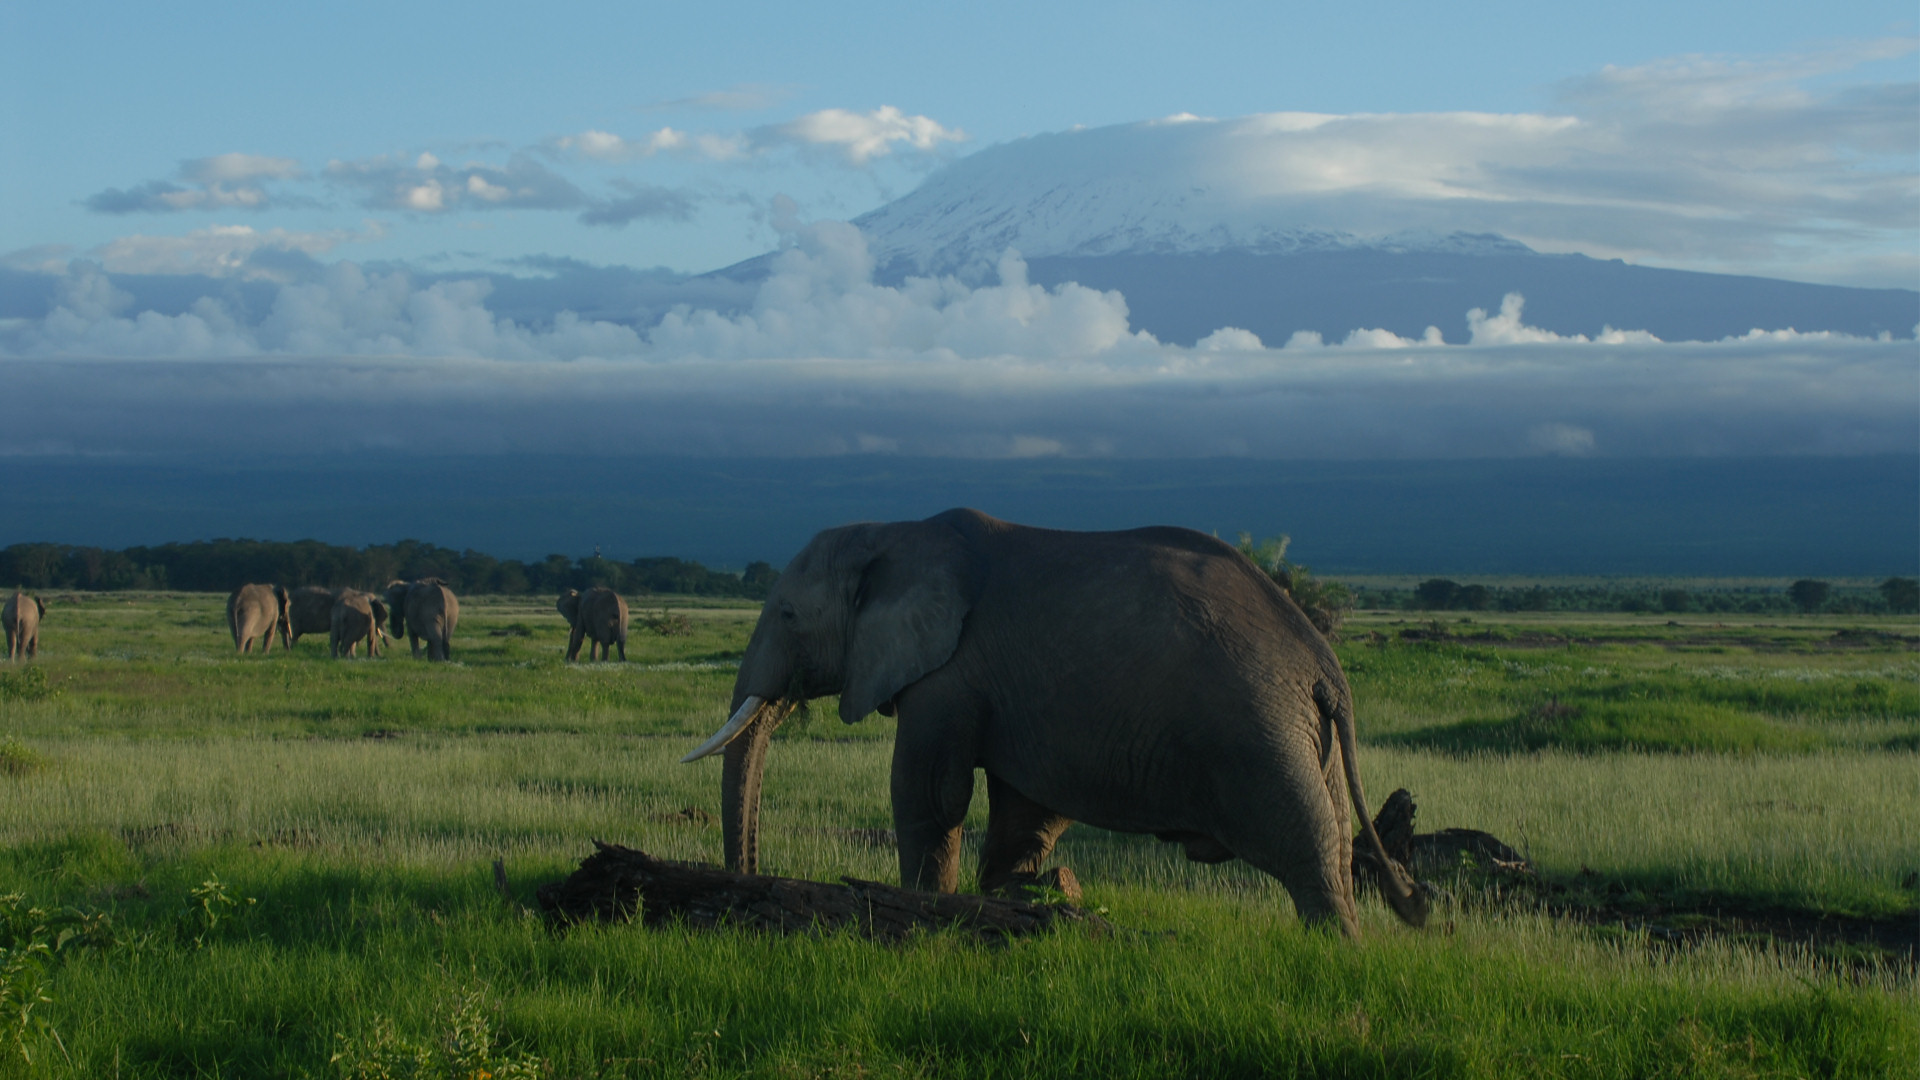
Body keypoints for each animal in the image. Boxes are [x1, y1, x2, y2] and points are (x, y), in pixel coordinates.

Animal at [681, 508, 1426, 939]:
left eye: (786, 616)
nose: (749, 881)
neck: (895, 532)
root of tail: (1324, 664)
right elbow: (1023, 809)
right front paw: (1012, 904)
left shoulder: (948, 673)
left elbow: (931, 793)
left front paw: (925, 908)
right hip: (1304, 732)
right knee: (1331, 834)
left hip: (1257, 726)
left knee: (1304, 842)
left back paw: (1337, 957)